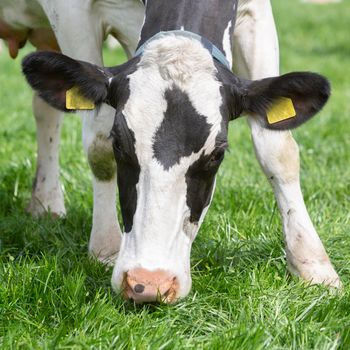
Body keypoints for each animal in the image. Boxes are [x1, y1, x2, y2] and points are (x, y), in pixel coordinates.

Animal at [4, 0, 342, 302]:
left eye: (216, 155)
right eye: (119, 145)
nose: (148, 283)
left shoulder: (256, 13)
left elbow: (276, 147)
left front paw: (313, 266)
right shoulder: (72, 12)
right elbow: (97, 141)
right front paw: (105, 248)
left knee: (45, 108)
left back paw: (45, 202)